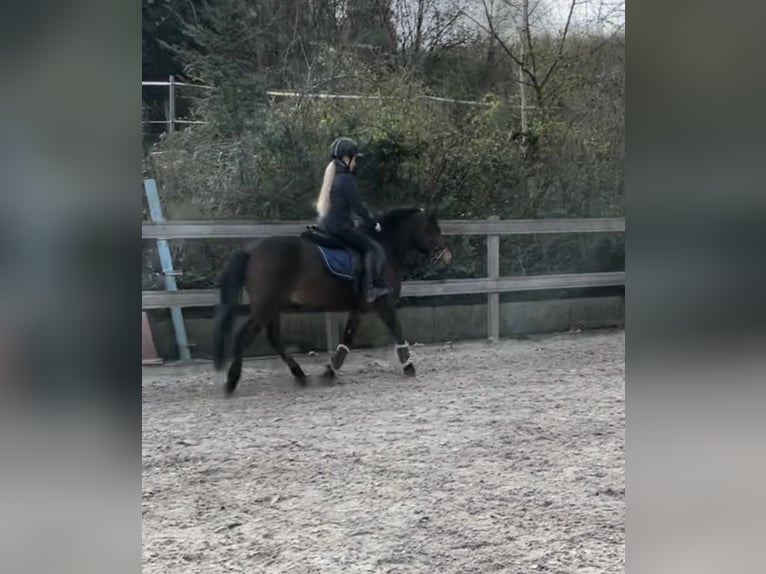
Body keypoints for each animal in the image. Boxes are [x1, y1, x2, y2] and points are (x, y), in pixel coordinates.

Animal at [213, 208, 452, 396]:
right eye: (434, 230)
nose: (447, 257)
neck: (385, 247)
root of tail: (252, 251)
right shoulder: (384, 304)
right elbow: (398, 331)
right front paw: (409, 367)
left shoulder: (358, 309)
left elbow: (346, 342)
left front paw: (329, 373)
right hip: (265, 306)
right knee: (243, 336)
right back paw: (232, 381)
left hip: (273, 306)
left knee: (274, 338)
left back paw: (300, 375)